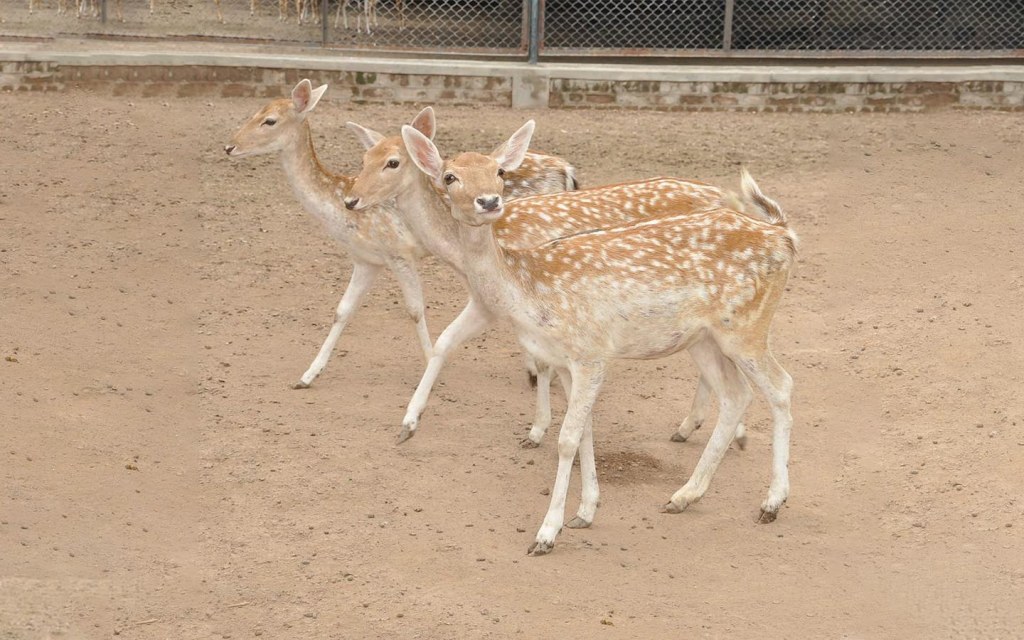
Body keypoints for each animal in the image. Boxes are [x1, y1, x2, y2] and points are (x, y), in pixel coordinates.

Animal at [339, 116, 749, 448]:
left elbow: (541, 360)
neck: (461, 254)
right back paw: (690, 427)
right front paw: (409, 423)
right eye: (364, 159)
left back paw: (728, 433)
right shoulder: (488, 303)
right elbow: (446, 343)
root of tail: (729, 197)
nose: (351, 200)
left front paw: (537, 429)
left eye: (392, 162)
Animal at [399, 120, 798, 552]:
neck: (528, 291)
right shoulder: (566, 362)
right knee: (736, 395)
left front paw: (546, 533)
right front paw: (585, 512)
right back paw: (683, 495)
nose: (488, 201)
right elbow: (585, 432)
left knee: (780, 386)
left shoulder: (591, 353)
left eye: (499, 171)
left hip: (747, 326)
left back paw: (771, 503)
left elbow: (567, 438)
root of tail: (783, 236)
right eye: (449, 176)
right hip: (704, 338)